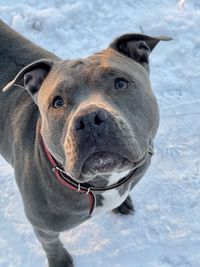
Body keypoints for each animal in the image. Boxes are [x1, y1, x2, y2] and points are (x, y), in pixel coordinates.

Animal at [0, 19, 170, 266]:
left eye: (121, 83)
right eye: (57, 102)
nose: (89, 119)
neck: (100, 183)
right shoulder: (43, 227)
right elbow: (51, 244)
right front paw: (60, 261)